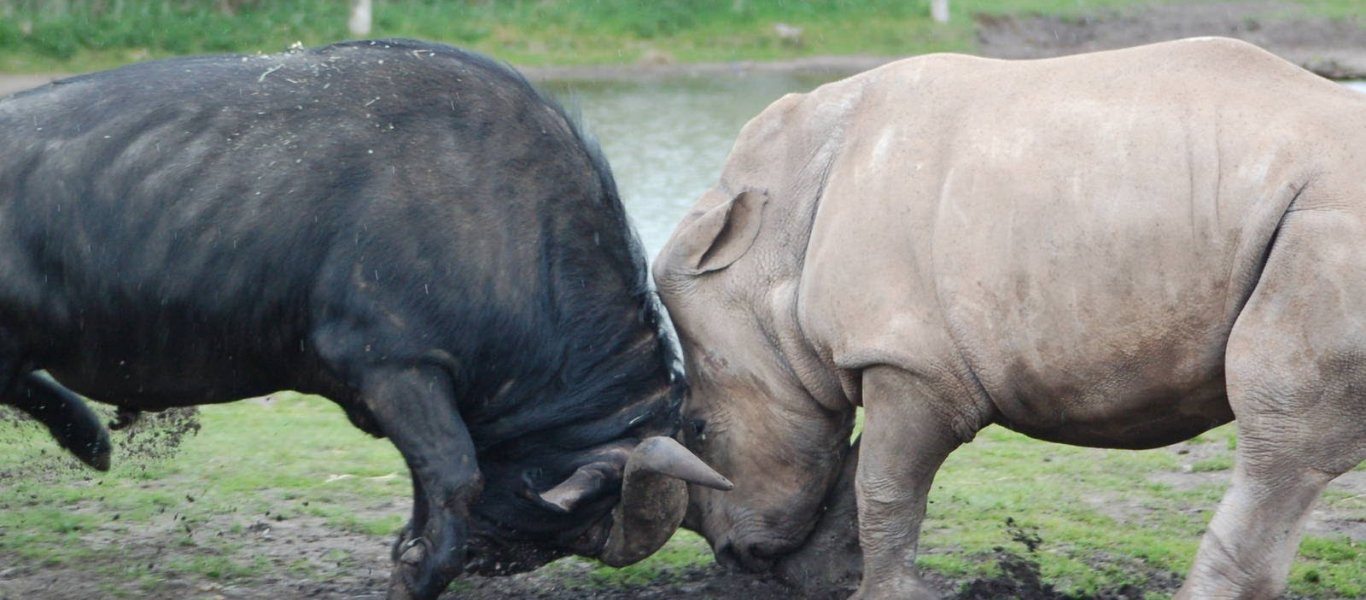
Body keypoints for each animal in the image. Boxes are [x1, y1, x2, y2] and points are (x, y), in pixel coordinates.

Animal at [2, 39, 726, 598]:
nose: (492, 561)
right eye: (585, 521)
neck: (512, 230)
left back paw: (90, 442)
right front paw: (421, 570)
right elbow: (455, 474)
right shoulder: (396, 365)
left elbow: (430, 481)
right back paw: (89, 437)